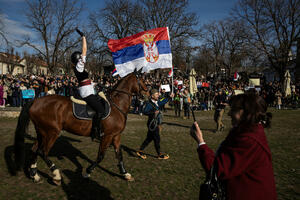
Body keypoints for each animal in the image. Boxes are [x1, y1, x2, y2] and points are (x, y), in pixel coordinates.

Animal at [14, 72, 149, 184]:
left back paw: (34, 175)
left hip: (42, 132)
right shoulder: (107, 136)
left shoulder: (116, 135)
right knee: (43, 152)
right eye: (142, 80)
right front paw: (87, 172)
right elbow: (100, 156)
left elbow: (119, 154)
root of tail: (36, 101)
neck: (117, 105)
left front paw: (125, 174)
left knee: (34, 150)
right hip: (52, 132)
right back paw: (56, 175)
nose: (148, 94)